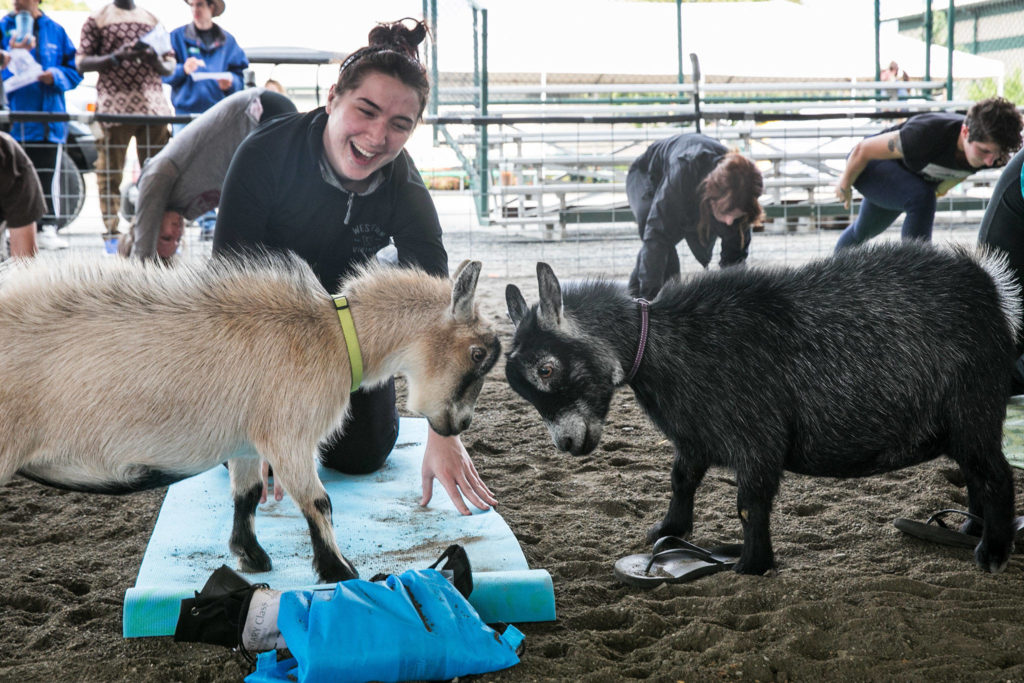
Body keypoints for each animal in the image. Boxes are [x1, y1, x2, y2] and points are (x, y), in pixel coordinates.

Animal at [0, 250, 499, 581]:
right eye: (478, 354)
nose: (459, 426)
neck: (334, 337)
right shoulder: (289, 436)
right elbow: (319, 502)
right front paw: (340, 570)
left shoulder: (246, 440)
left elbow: (248, 494)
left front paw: (252, 557)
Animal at [505, 242, 1024, 573]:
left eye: (546, 368)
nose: (568, 443)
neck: (665, 344)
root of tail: (992, 290)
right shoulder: (695, 436)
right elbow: (681, 479)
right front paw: (667, 530)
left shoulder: (757, 438)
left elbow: (750, 501)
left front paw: (751, 565)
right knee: (976, 476)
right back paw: (968, 530)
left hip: (974, 406)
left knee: (997, 476)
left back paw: (993, 553)